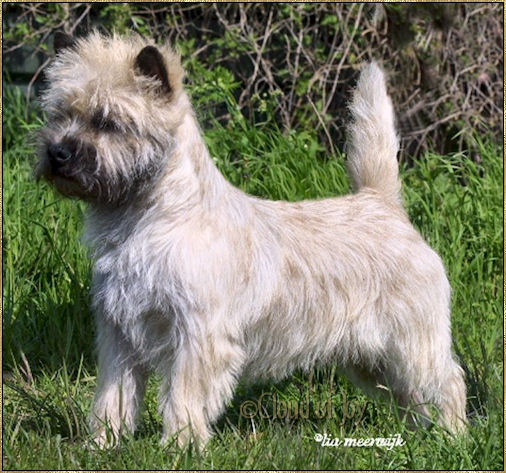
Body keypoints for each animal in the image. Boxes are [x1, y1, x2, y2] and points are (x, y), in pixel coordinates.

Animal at [33, 33, 464, 446]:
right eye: (59, 114)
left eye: (106, 120)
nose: (57, 152)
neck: (146, 219)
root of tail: (382, 203)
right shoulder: (119, 335)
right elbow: (113, 396)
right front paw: (101, 445)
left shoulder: (198, 336)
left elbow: (183, 396)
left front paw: (179, 447)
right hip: (368, 358)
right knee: (411, 397)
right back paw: (419, 437)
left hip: (412, 342)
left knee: (447, 382)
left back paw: (453, 438)